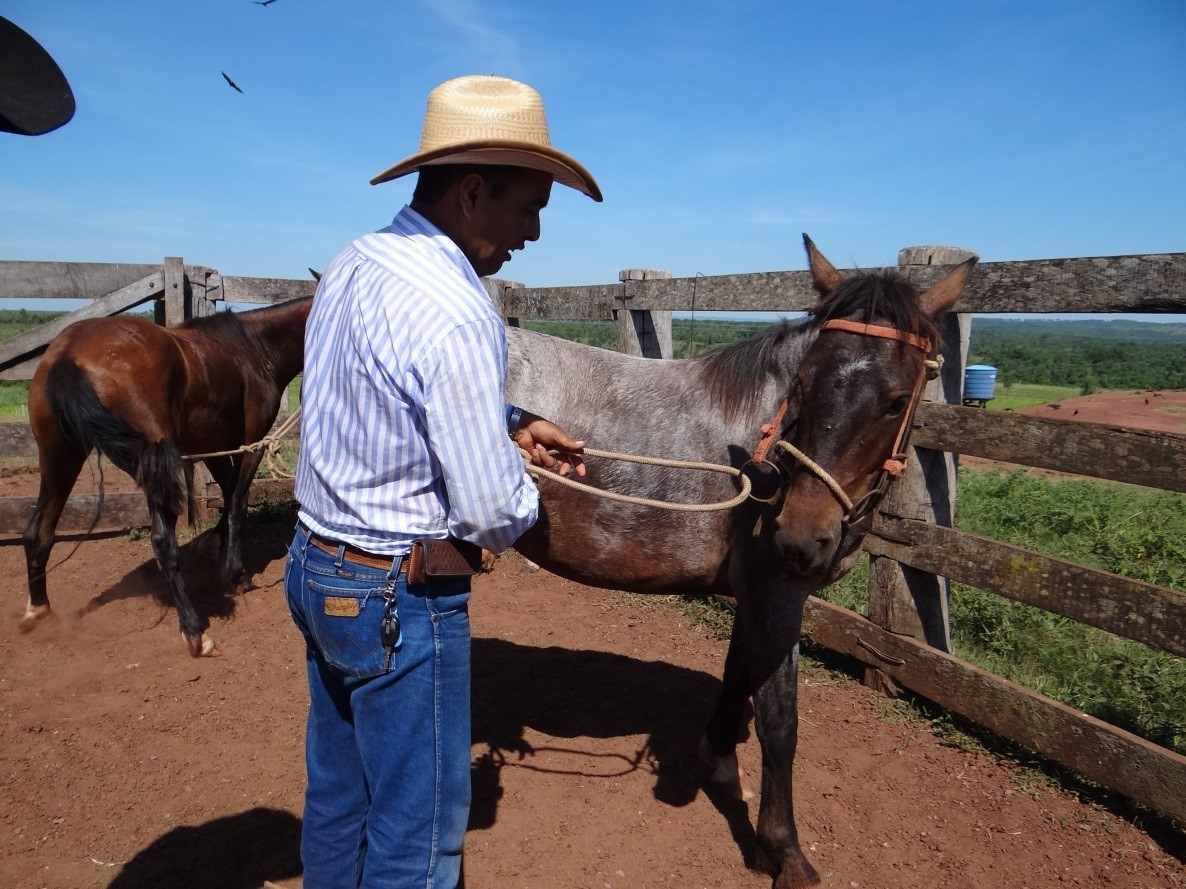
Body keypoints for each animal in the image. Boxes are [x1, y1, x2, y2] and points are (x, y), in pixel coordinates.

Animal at [20, 296, 313, 658]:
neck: (252, 347)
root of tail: (67, 353)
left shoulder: (214, 448)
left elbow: (228, 496)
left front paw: (212, 549)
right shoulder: (251, 445)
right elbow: (237, 506)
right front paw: (235, 575)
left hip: (60, 458)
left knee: (38, 533)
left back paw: (38, 611)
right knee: (162, 541)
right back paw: (194, 630)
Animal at [505, 236, 975, 888]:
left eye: (896, 401)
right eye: (801, 382)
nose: (801, 538)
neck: (766, 454)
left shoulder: (755, 590)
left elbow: (737, 675)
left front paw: (720, 758)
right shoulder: (777, 590)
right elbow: (780, 721)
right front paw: (785, 851)